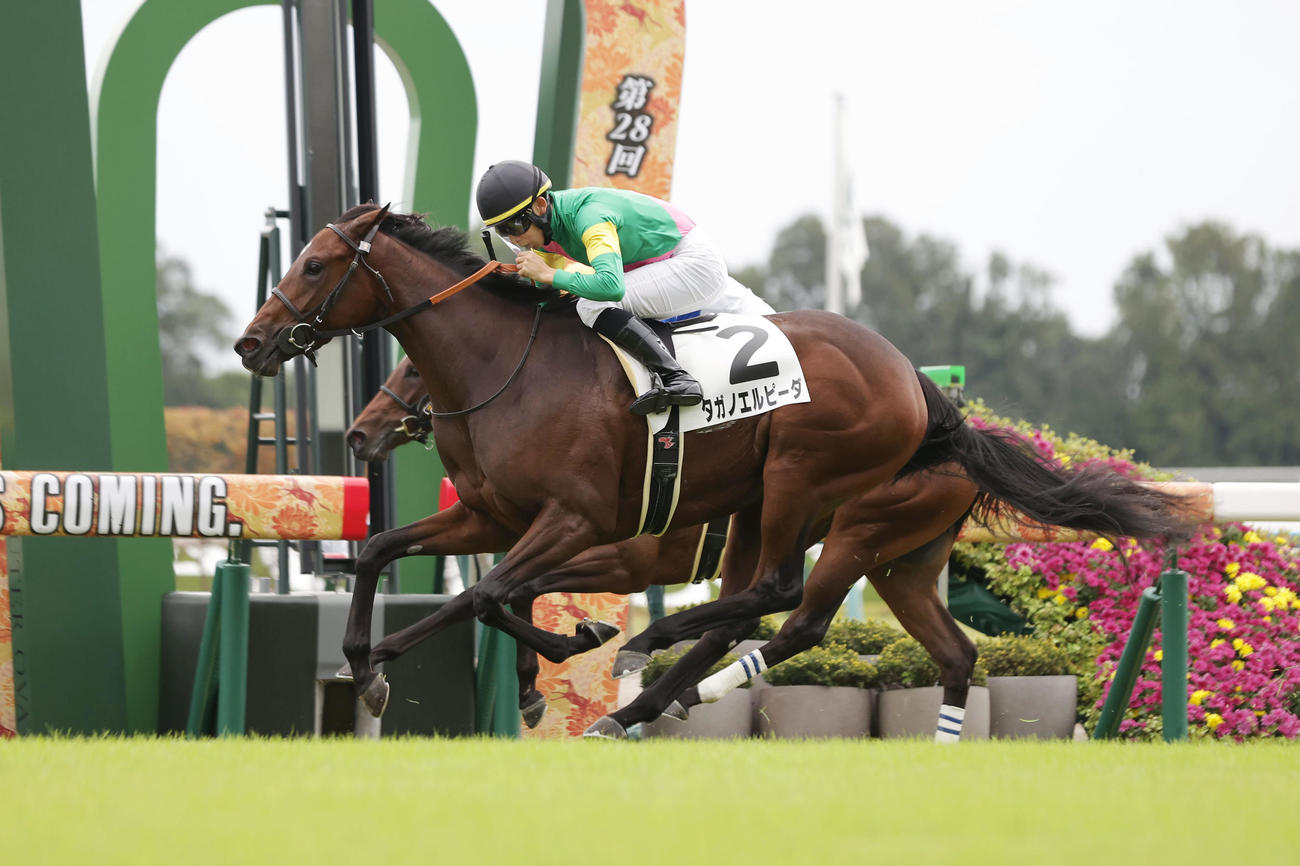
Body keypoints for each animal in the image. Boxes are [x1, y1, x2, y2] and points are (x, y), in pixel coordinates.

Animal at [348, 356, 982, 733]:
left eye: (413, 373)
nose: (359, 433)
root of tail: (947, 430)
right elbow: (506, 592)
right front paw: (536, 681)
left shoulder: (617, 559)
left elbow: (487, 594)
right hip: (897, 563)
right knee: (951, 651)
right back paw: (661, 698)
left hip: (853, 535)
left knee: (796, 621)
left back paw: (661, 685)